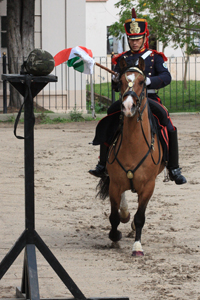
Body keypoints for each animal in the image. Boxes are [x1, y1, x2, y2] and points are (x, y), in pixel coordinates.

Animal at [97, 57, 165, 256]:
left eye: (142, 81)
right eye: (119, 81)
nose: (128, 107)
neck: (133, 145)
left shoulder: (148, 186)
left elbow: (141, 216)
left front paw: (137, 246)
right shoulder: (115, 183)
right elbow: (113, 216)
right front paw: (114, 237)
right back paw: (125, 216)